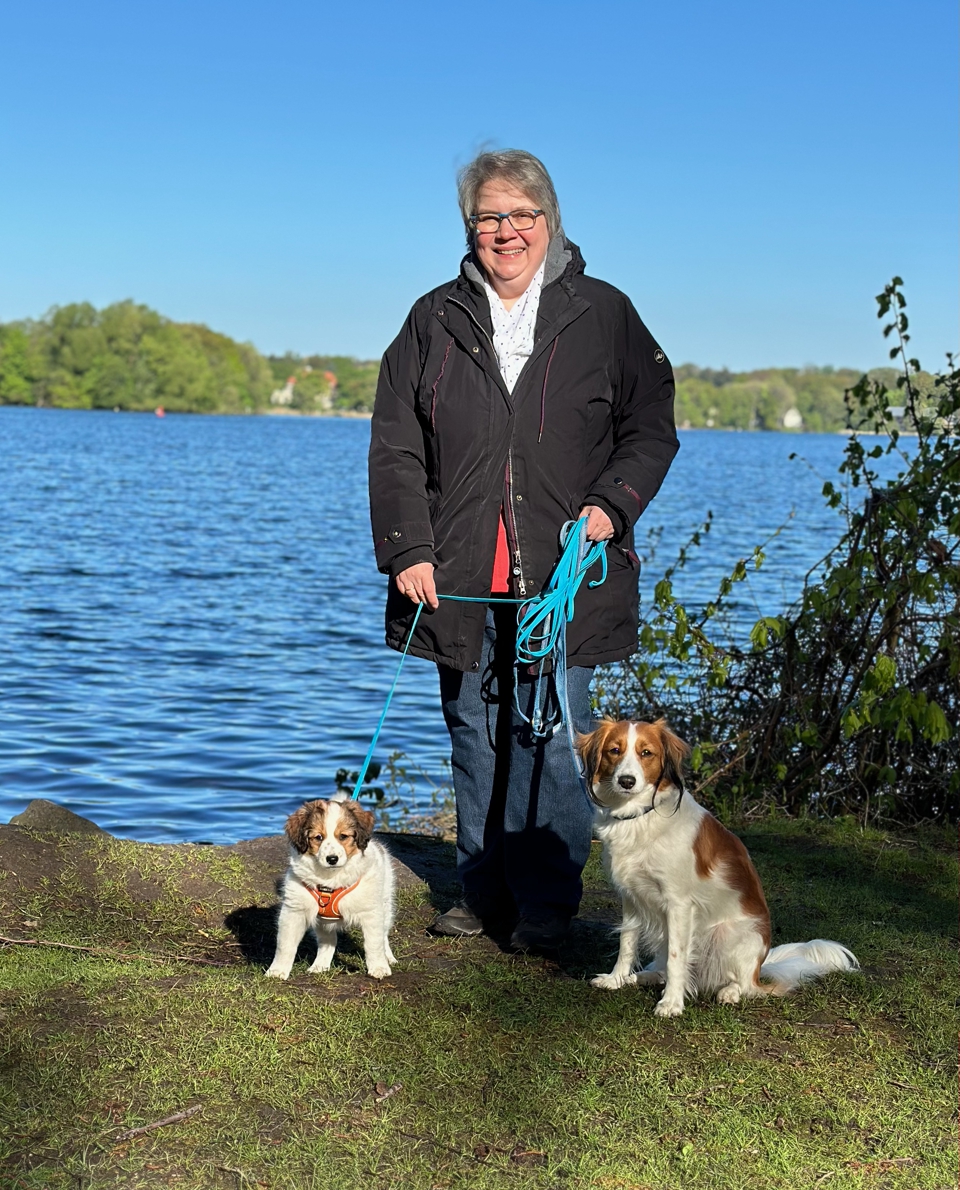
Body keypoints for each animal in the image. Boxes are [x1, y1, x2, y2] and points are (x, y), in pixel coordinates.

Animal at [265, 794, 394, 980]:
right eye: (318, 837)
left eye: (343, 836)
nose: (332, 859)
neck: (331, 879)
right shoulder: (294, 911)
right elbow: (285, 945)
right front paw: (277, 970)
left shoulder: (371, 912)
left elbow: (374, 943)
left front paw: (379, 967)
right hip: (322, 923)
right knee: (329, 941)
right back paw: (320, 965)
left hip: (384, 903)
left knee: (383, 935)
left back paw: (388, 957)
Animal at [573, 718, 861, 1018]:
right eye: (615, 750)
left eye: (646, 753)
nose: (626, 781)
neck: (640, 816)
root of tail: (760, 967)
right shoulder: (631, 896)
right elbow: (626, 942)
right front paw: (616, 979)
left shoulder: (678, 904)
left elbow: (677, 957)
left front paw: (671, 1003)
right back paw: (643, 976)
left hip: (728, 936)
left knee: (743, 985)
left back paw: (729, 992)